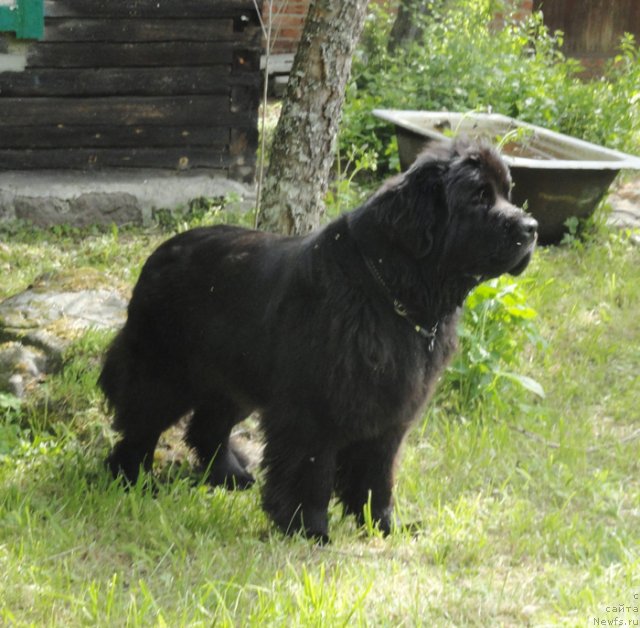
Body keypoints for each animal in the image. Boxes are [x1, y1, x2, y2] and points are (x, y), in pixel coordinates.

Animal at [100, 140, 536, 544]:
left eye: (507, 191)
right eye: (478, 197)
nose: (531, 227)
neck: (390, 293)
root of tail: (159, 253)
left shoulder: (391, 412)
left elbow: (378, 475)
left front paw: (383, 526)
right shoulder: (313, 410)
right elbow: (310, 472)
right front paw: (308, 529)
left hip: (235, 378)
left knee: (208, 427)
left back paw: (229, 476)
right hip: (164, 373)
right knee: (140, 425)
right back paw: (132, 479)